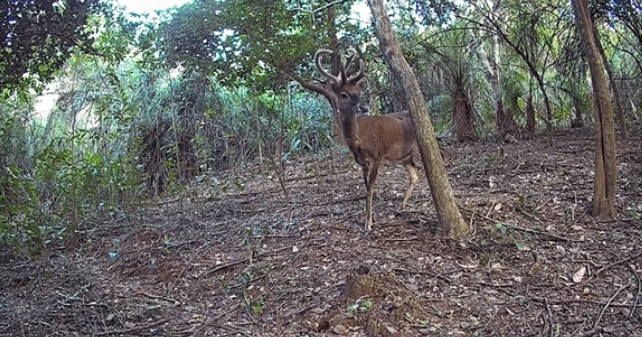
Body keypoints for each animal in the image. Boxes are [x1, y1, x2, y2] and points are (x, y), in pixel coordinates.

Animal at [312, 48, 418, 231]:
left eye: (359, 93)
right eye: (344, 94)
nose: (364, 107)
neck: (358, 141)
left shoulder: (377, 155)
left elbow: (370, 189)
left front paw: (368, 224)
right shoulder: (361, 162)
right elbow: (365, 187)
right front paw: (368, 219)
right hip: (405, 155)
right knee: (415, 175)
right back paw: (400, 207)